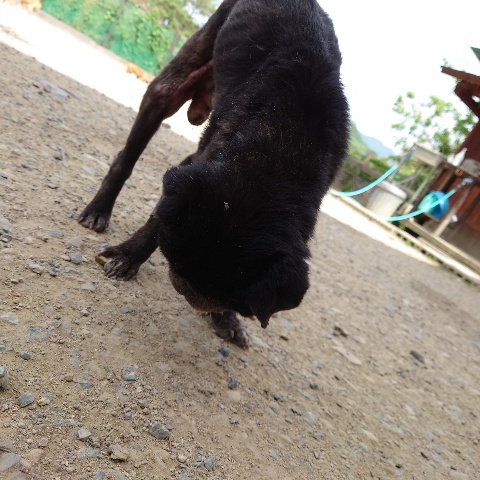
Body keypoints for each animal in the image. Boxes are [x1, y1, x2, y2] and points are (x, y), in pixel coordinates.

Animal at [78, 0, 349, 347]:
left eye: (235, 299)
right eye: (174, 261)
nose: (186, 289)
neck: (284, 150)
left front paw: (227, 320)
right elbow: (156, 221)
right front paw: (129, 256)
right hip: (169, 87)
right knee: (126, 159)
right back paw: (99, 209)